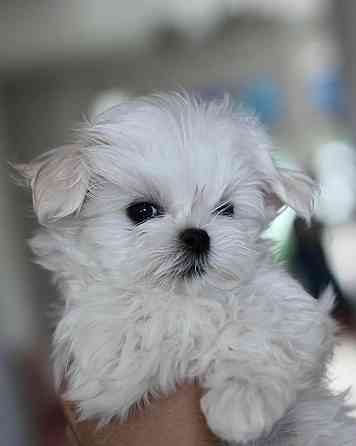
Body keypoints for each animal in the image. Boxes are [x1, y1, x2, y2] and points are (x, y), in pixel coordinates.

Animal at [19, 92, 356, 444]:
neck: (187, 296)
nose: (197, 236)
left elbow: (266, 326)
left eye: (226, 209)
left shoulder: (294, 312)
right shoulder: (103, 356)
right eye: (141, 211)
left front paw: (241, 400)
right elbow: (157, 330)